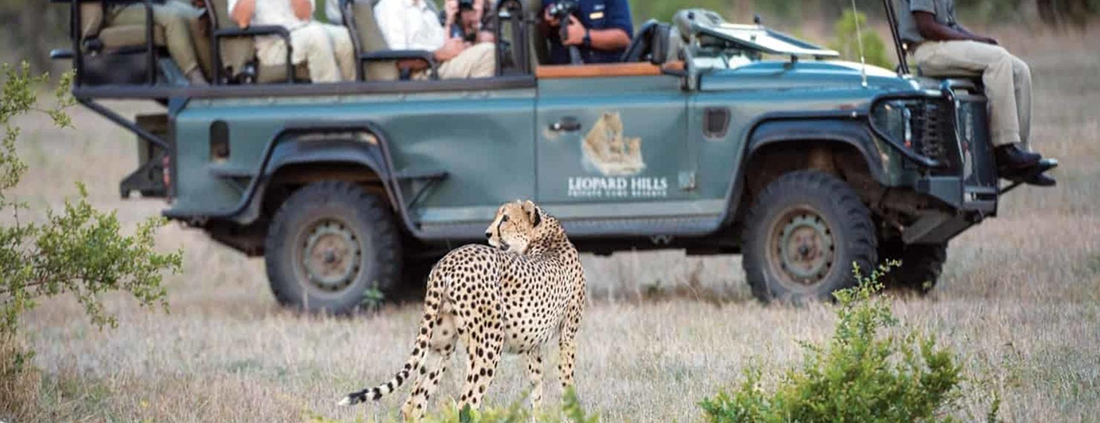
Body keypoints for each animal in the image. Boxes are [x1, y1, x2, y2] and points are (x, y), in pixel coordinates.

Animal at [338, 200, 586, 421]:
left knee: (414, 403)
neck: (546, 236)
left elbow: (537, 386)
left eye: (505, 218)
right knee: (467, 402)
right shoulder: (568, 335)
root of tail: (447, 261)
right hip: (490, 343)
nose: (487, 234)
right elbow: (566, 380)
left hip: (441, 343)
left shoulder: (533, 345)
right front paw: (571, 414)